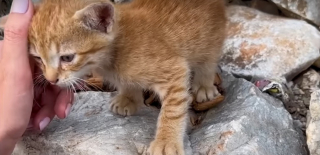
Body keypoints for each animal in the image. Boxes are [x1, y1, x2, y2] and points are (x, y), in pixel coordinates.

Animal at [0, 0, 226, 154]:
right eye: (38, 58)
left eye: (67, 58)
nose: (51, 80)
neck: (114, 53)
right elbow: (127, 84)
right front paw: (128, 98)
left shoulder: (175, 70)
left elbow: (173, 111)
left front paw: (166, 142)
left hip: (209, 40)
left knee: (208, 60)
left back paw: (204, 86)